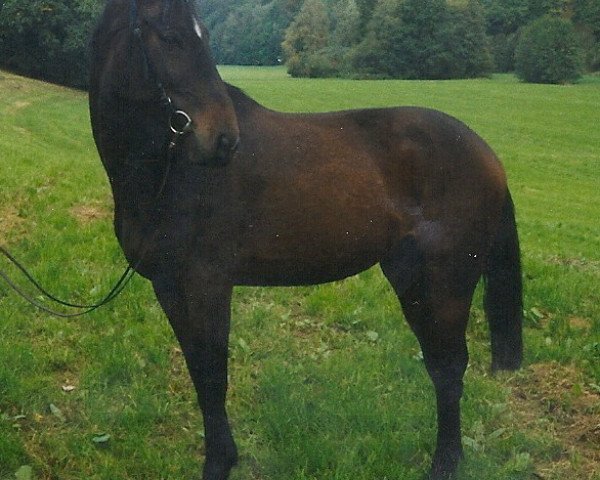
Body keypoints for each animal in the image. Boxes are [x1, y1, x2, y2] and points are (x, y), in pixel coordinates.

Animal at [86, 1, 524, 478]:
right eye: (169, 37)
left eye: (202, 35)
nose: (224, 139)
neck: (166, 174)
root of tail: (488, 156)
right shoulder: (169, 287)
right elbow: (199, 372)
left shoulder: (207, 286)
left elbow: (213, 376)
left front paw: (221, 461)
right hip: (411, 278)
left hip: (446, 285)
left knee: (448, 370)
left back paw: (444, 462)